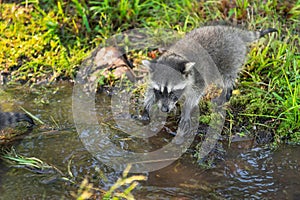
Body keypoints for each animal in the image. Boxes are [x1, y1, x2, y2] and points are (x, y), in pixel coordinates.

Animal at [140, 25, 276, 130]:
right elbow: (150, 91)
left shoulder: (198, 78)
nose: (164, 109)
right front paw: (146, 106)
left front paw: (186, 110)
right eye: (159, 92)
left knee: (227, 79)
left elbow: (194, 96)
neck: (176, 57)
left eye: (173, 92)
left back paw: (226, 92)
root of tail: (233, 32)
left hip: (230, 60)